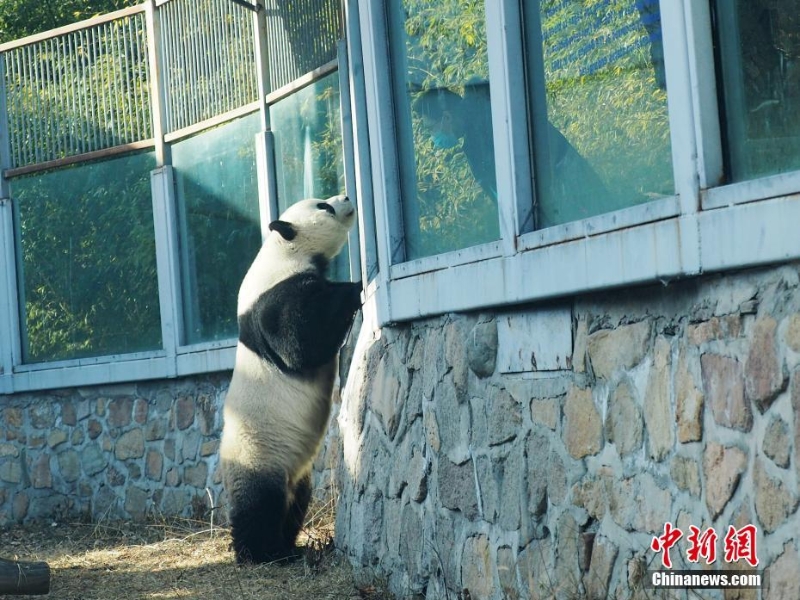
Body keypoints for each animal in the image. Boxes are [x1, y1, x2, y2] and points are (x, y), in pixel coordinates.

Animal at [216, 195, 360, 564]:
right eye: (324, 206)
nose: (346, 197)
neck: (283, 249)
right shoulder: (273, 298)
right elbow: (299, 343)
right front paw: (352, 289)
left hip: (296, 469)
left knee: (295, 504)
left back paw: (289, 546)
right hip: (258, 454)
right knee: (260, 507)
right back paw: (261, 553)